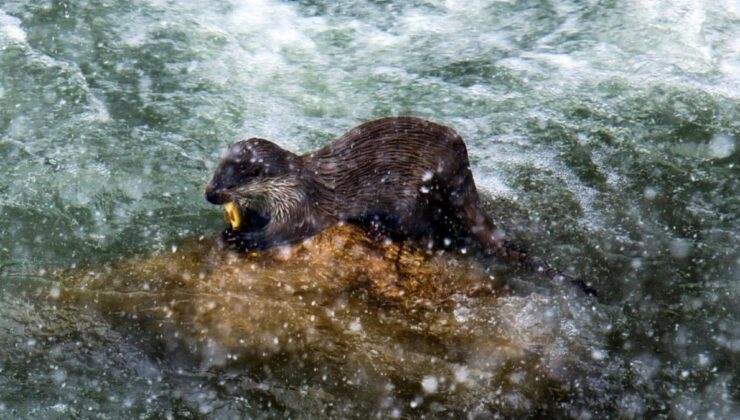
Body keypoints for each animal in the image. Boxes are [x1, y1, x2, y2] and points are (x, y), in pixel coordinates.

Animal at [205, 116, 600, 296]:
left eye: (230, 182)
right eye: (214, 172)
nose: (209, 195)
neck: (289, 185)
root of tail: (459, 159)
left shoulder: (300, 205)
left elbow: (285, 232)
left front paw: (243, 239)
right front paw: (233, 227)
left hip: (414, 194)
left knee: (422, 228)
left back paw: (379, 228)